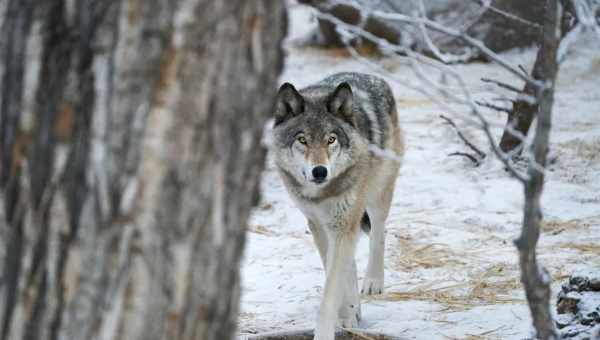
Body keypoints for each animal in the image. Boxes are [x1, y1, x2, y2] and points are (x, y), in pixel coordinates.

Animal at [270, 72, 404, 340]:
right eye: (302, 140)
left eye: (331, 139)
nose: (320, 171)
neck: (323, 194)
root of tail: (371, 76)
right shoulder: (319, 226)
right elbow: (337, 275)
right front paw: (348, 314)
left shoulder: (343, 223)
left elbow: (331, 291)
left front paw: (326, 331)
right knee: (351, 262)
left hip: (377, 195)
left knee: (379, 232)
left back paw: (373, 281)